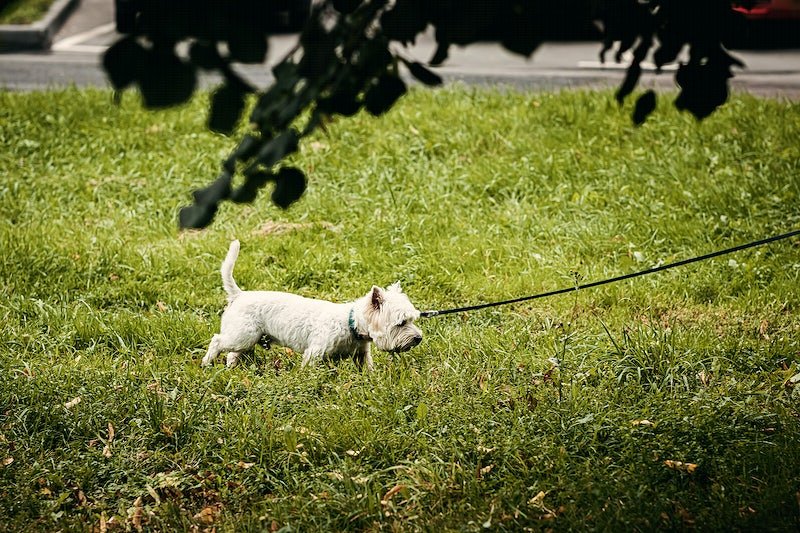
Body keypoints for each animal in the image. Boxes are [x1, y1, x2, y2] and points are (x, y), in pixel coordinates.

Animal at [202, 241, 424, 370]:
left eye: (412, 319)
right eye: (401, 323)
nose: (419, 338)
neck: (352, 324)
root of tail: (239, 295)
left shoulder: (361, 355)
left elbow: (367, 369)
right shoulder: (315, 353)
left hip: (246, 339)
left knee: (232, 353)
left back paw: (231, 368)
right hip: (242, 334)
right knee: (217, 341)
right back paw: (206, 363)